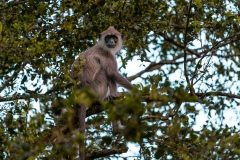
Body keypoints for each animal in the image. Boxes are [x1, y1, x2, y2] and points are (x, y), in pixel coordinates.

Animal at [70, 26, 132, 159]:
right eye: (108, 37)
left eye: (114, 37)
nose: (112, 42)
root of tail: (82, 93)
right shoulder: (107, 55)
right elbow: (112, 73)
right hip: (96, 88)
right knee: (105, 71)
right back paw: (113, 95)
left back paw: (117, 129)